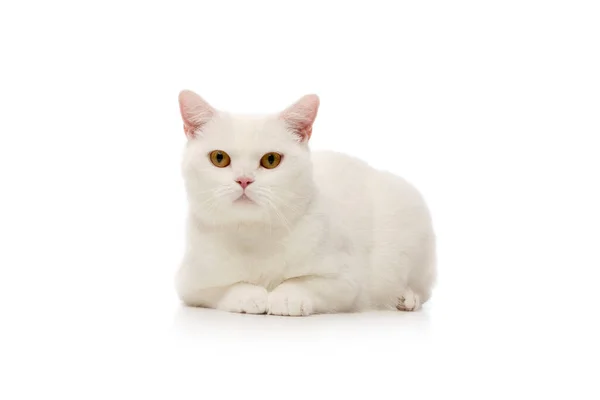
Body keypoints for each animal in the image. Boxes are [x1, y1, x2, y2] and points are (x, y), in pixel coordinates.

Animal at [175, 90, 436, 316]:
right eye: (219, 158)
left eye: (271, 160)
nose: (244, 180)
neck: (254, 234)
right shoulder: (190, 283)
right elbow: (224, 288)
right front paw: (249, 295)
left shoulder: (345, 280)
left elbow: (303, 282)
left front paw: (286, 297)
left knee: (422, 288)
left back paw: (406, 298)